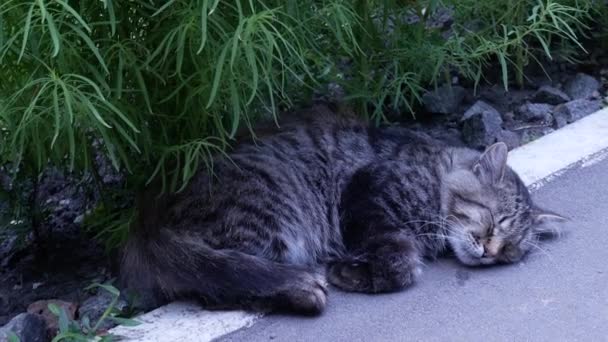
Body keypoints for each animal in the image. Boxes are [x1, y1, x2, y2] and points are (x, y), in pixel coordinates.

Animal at [120, 105, 564, 316]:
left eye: (510, 248)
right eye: (493, 221)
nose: (491, 252)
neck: (432, 170)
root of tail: (148, 215)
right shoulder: (366, 192)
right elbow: (400, 257)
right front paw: (354, 272)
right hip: (273, 219)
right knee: (216, 281)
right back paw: (303, 288)